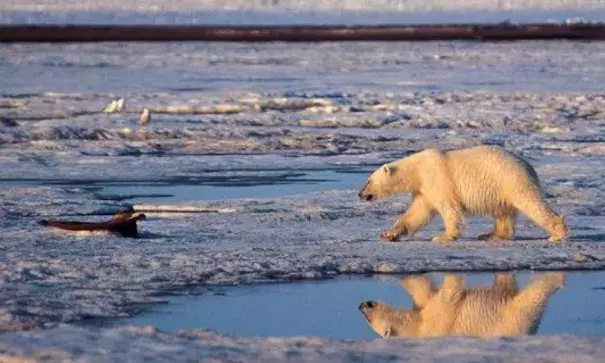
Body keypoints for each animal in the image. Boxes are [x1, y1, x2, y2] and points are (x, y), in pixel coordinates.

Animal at [356, 146, 564, 245]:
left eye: (368, 181)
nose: (360, 194)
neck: (417, 169)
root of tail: (528, 166)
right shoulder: (424, 189)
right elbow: (417, 213)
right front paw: (388, 234)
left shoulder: (438, 179)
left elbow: (449, 208)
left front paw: (443, 237)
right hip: (500, 188)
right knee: (502, 212)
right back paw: (491, 235)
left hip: (511, 179)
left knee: (530, 203)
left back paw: (557, 234)